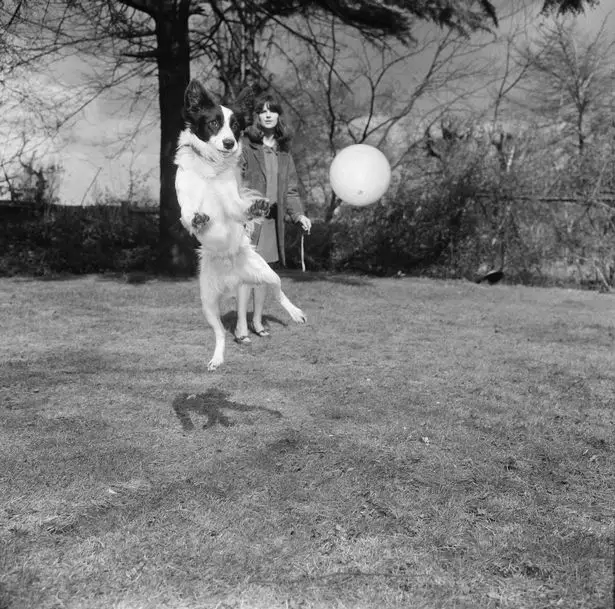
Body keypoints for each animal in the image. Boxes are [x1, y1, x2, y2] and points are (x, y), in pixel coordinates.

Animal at [174, 81, 306, 370]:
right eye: (213, 123)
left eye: (235, 126)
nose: (229, 142)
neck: (212, 168)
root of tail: (232, 276)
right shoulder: (185, 197)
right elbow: (187, 214)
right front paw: (197, 220)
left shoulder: (231, 201)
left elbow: (239, 208)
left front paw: (255, 208)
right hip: (208, 303)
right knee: (220, 334)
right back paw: (217, 358)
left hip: (268, 274)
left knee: (279, 293)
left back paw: (295, 313)